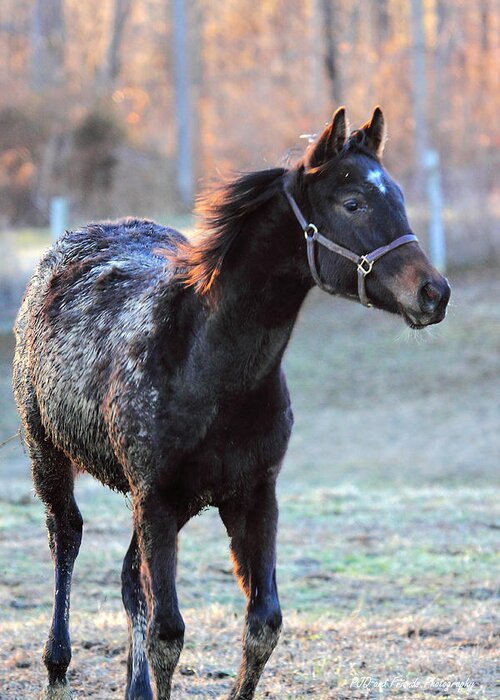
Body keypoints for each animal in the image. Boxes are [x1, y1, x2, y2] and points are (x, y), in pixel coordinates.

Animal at [12, 105, 450, 700]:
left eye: (400, 195)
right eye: (353, 202)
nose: (434, 293)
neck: (208, 368)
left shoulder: (253, 495)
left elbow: (262, 624)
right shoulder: (156, 497)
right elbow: (169, 633)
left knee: (129, 580)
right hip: (50, 456)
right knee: (67, 538)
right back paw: (57, 664)